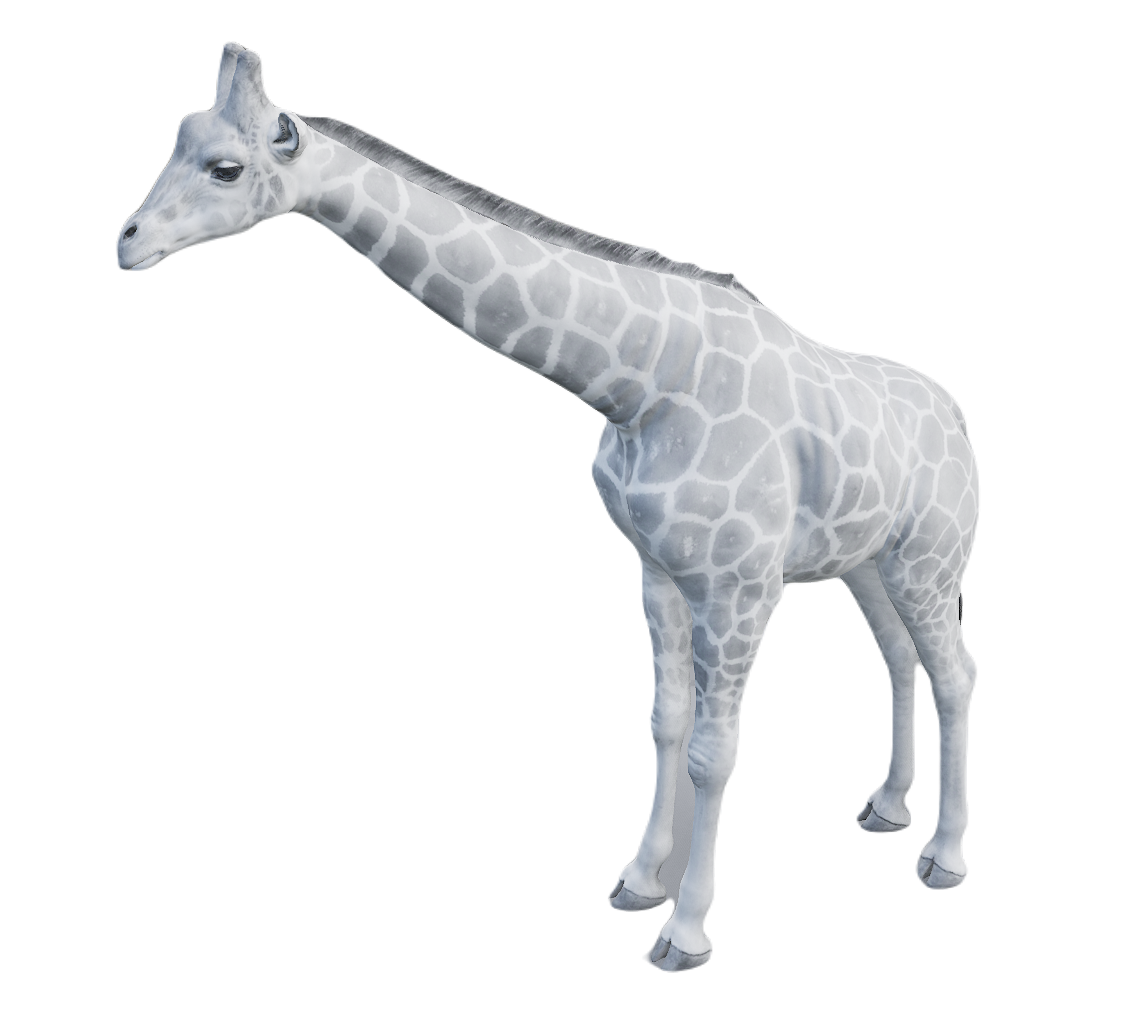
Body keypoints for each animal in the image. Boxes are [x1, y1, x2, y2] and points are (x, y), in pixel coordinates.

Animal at [116, 42, 981, 972]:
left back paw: (943, 856)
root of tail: (957, 416)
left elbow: (716, 753)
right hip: (868, 563)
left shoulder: (740, 587)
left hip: (933, 559)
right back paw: (886, 808)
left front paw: (685, 930)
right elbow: (665, 723)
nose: (127, 244)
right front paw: (638, 881)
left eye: (227, 168)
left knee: (956, 672)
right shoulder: (657, 572)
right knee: (899, 656)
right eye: (178, 139)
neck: (643, 383)